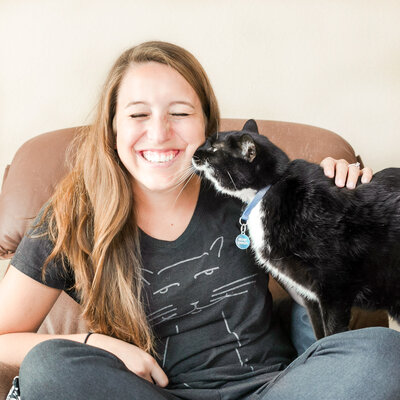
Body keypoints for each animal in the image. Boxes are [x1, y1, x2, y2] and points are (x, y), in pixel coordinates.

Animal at [191, 120, 400, 340]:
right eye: (208, 142)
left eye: (214, 149)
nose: (195, 153)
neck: (269, 187)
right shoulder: (309, 296)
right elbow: (319, 334)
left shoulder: (334, 288)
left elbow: (333, 333)